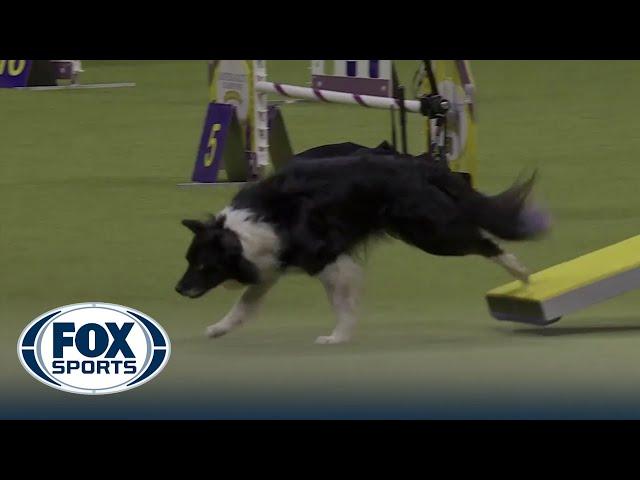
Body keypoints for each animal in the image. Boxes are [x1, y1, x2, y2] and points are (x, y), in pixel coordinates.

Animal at [176, 141, 552, 344]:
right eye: (189, 260)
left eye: (203, 265)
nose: (178, 289)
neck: (242, 232)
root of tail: (417, 166)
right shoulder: (272, 265)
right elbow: (245, 304)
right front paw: (219, 328)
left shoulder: (326, 259)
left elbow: (342, 302)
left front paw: (338, 336)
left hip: (430, 232)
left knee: (485, 242)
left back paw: (522, 274)